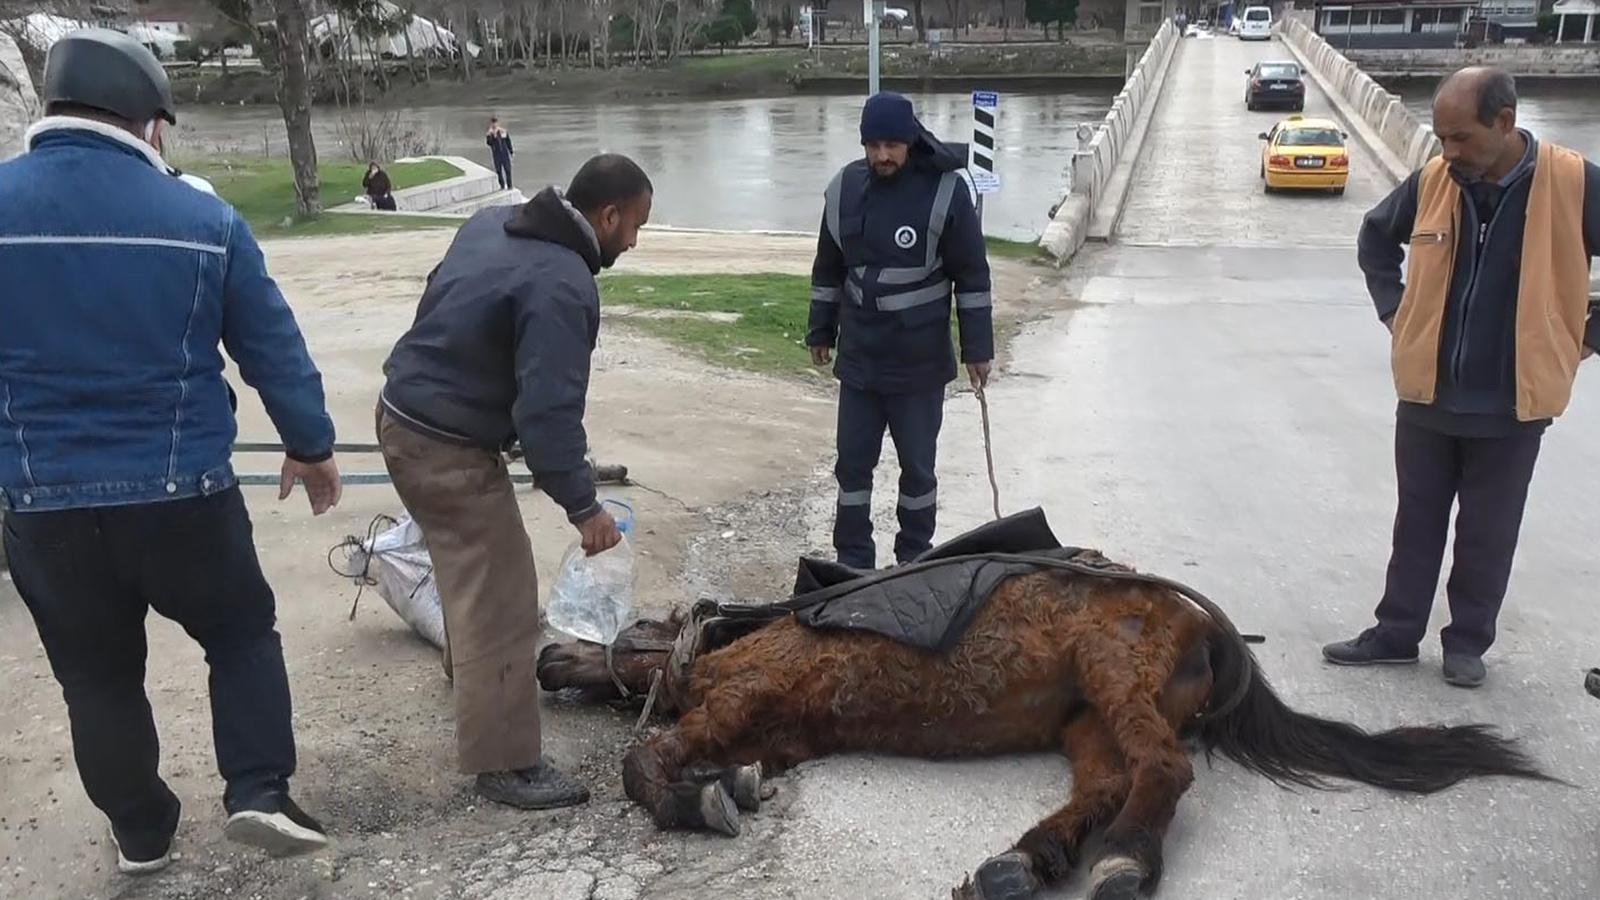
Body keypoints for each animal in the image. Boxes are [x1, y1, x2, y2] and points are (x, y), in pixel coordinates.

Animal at [534, 509, 1548, 890]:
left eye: (637, 627)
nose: (547, 659)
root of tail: (1201, 623)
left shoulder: (745, 697)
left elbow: (646, 763)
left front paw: (704, 796)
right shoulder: (774, 726)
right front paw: (729, 783)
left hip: (1111, 670)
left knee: (1162, 773)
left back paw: (1124, 863)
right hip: (1087, 716)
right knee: (1108, 784)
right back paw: (1026, 862)